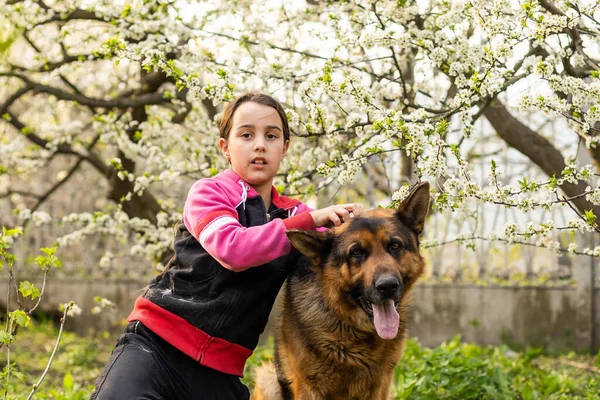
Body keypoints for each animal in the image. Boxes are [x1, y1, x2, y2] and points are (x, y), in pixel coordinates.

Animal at [253, 183, 432, 398]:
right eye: (356, 252)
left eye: (395, 245)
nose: (388, 286)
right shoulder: (308, 387)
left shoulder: (380, 385)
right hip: (267, 379)